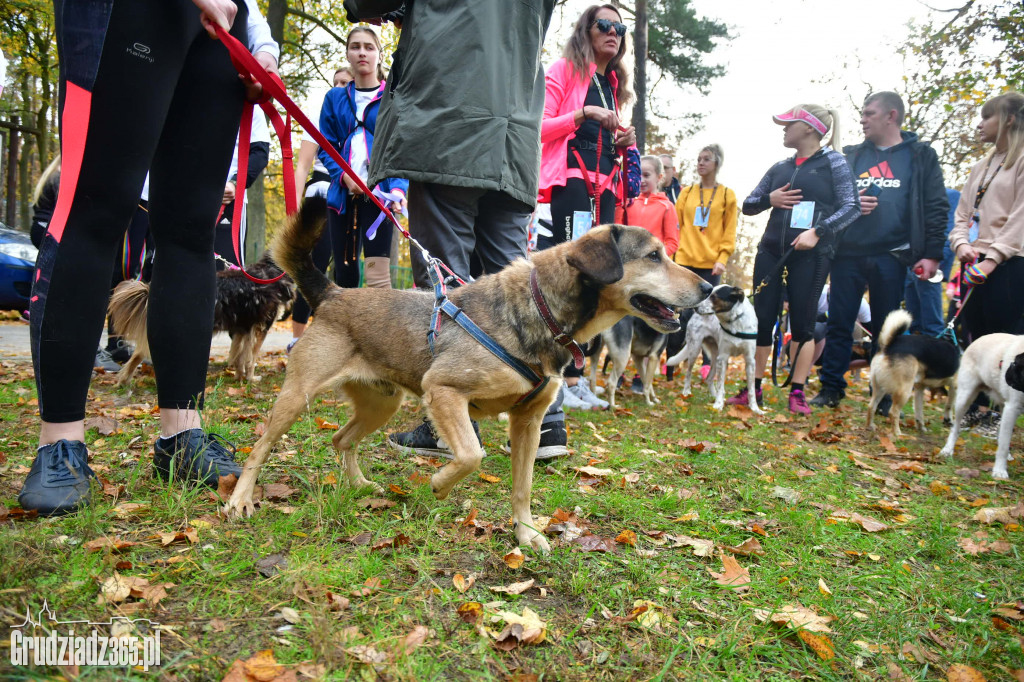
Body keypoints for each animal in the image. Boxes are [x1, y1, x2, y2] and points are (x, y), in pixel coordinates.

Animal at [110, 253, 294, 385]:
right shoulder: (260, 327)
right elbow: (251, 357)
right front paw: (250, 378)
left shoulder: (243, 327)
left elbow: (239, 355)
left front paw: (239, 377)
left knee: (138, 353)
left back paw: (123, 381)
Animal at [663, 282, 761, 411]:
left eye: (714, 297)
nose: (695, 307)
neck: (734, 322)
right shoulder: (723, 357)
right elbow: (720, 384)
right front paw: (718, 405)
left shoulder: (750, 361)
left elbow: (751, 389)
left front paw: (754, 408)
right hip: (695, 349)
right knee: (688, 373)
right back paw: (686, 392)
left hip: (715, 356)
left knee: (709, 378)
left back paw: (713, 395)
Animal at [868, 307, 954, 436]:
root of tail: (888, 347)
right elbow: (949, 406)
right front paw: (949, 420)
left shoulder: (919, 388)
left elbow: (918, 411)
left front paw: (921, 427)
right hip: (904, 391)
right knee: (893, 412)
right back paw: (897, 433)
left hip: (880, 388)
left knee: (871, 406)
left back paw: (870, 426)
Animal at [942, 333, 1024, 477]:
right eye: (1014, 362)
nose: (1006, 369)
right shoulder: (1012, 409)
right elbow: (1003, 446)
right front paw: (999, 471)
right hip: (964, 398)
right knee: (955, 428)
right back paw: (948, 449)